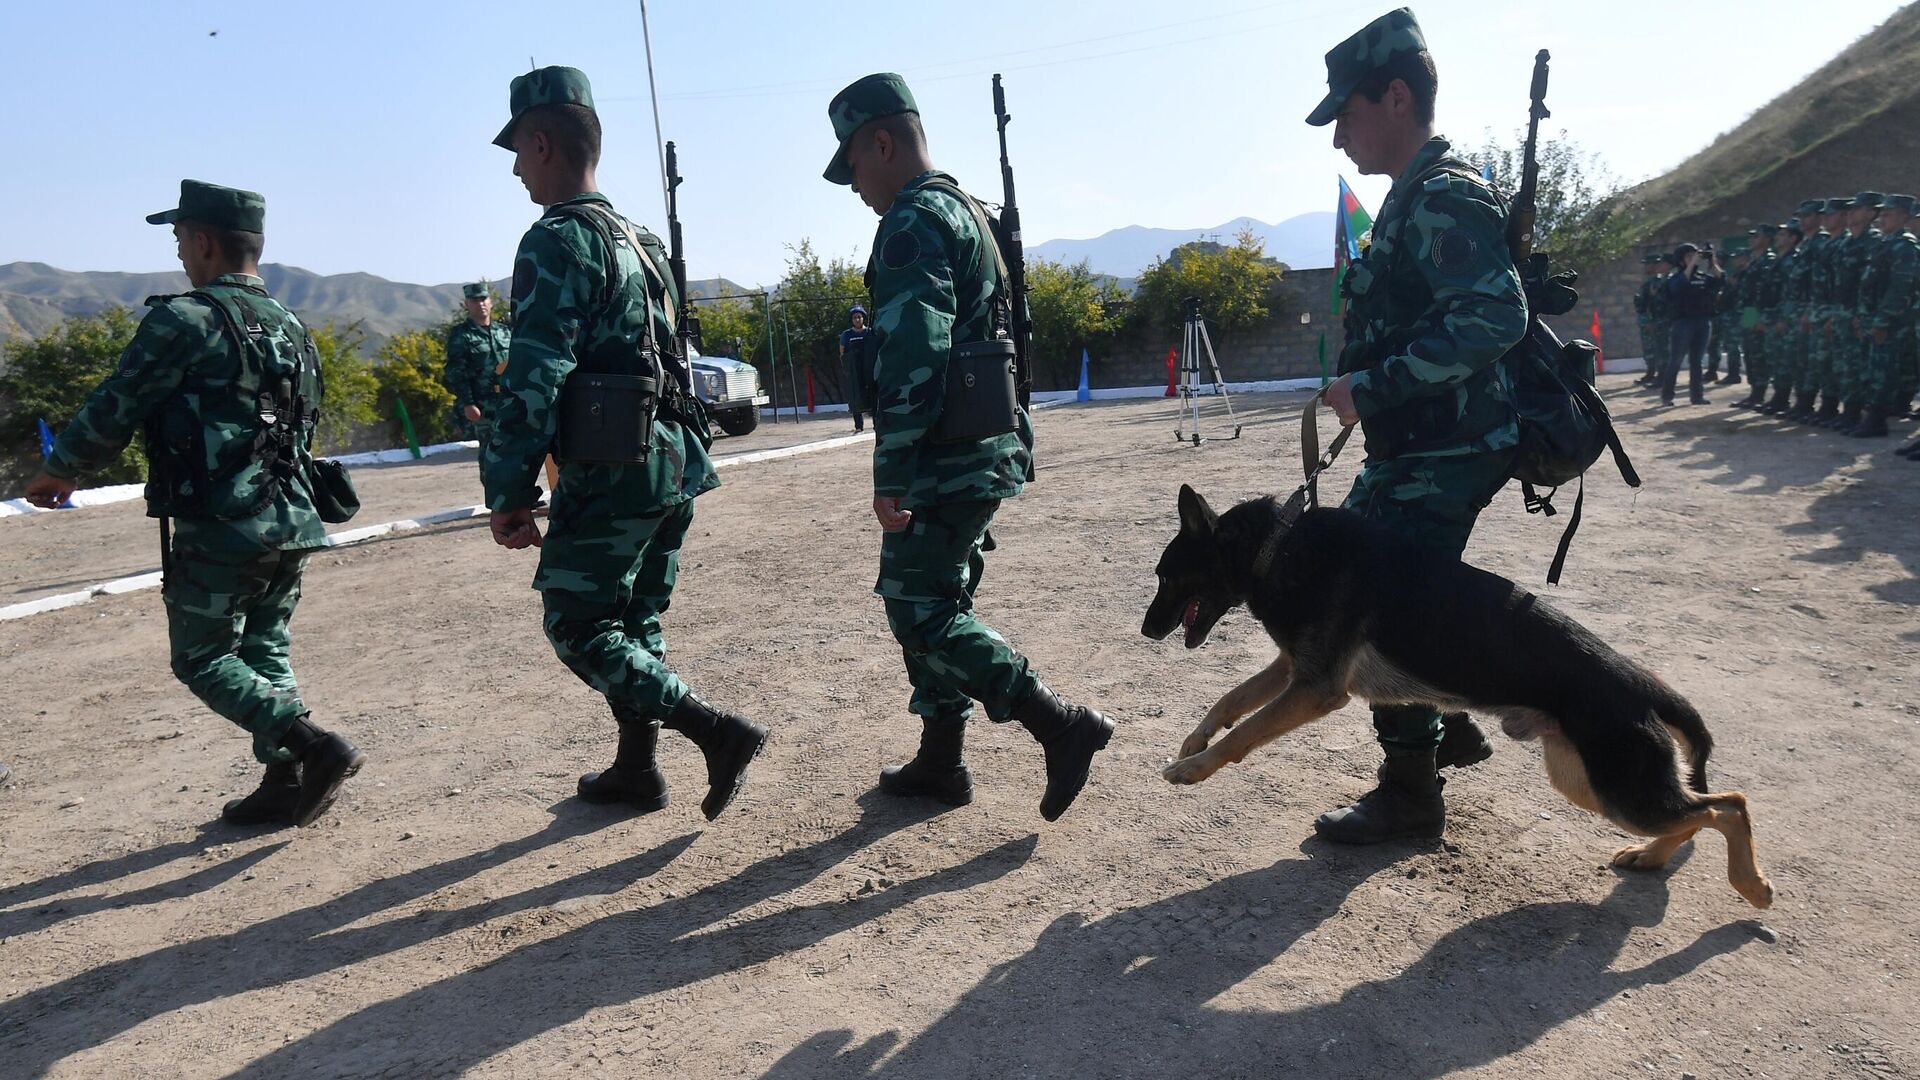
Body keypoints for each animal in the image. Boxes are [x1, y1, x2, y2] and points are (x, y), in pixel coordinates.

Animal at [1136, 484, 1766, 903]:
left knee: (1729, 806)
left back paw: (1751, 884)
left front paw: (1194, 769)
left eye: (1166, 577)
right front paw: (1192, 743)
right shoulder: (1292, 668)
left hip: (1619, 792)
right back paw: (1651, 858)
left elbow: (1244, 731)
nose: (1144, 631)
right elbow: (1229, 701)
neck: (1279, 546)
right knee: (1694, 814)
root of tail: (1640, 686)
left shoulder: (1316, 689)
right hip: (1583, 782)